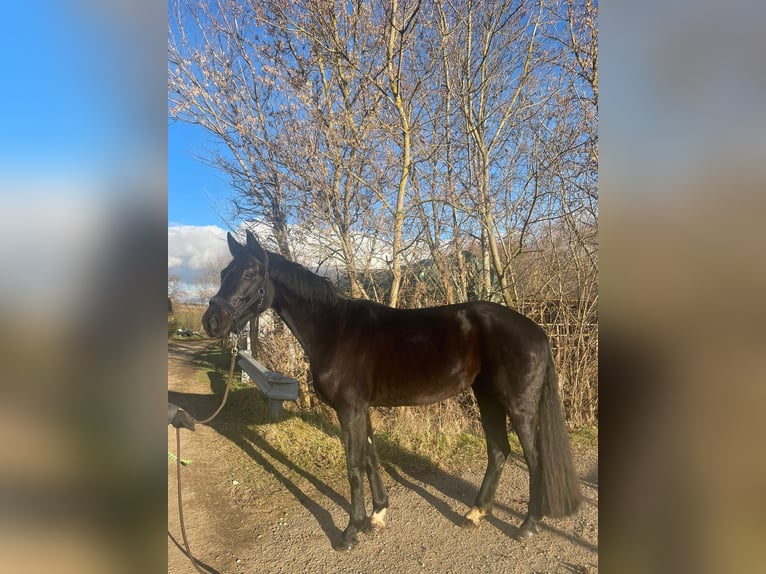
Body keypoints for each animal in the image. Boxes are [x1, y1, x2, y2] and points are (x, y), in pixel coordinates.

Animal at [204, 231, 584, 552]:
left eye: (250, 273)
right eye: (224, 272)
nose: (212, 322)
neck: (334, 330)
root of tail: (536, 330)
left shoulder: (350, 410)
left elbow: (354, 466)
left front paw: (350, 532)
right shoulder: (362, 409)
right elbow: (371, 458)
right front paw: (377, 516)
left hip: (518, 404)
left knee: (534, 459)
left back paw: (528, 525)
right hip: (487, 397)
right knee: (499, 451)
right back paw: (475, 514)